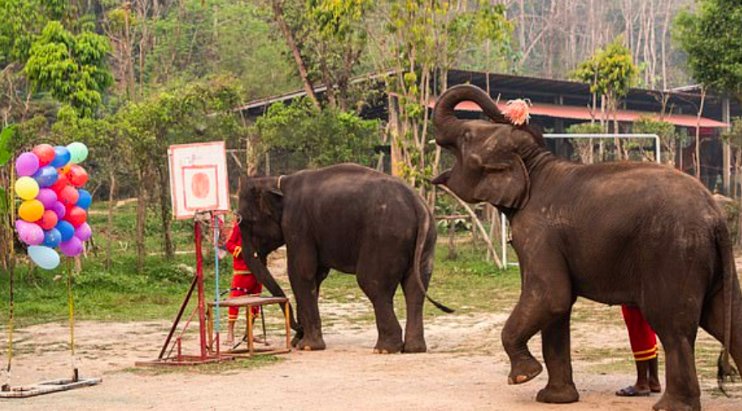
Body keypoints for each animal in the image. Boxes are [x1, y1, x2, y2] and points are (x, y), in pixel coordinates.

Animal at [237, 164, 454, 354]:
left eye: (244, 221)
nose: (298, 332)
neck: (278, 181)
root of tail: (417, 204)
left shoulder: (297, 224)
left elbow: (301, 273)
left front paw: (307, 346)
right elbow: (316, 276)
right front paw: (300, 343)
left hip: (385, 238)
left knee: (373, 284)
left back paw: (384, 350)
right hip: (427, 239)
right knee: (415, 288)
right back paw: (413, 349)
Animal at [430, 84, 742, 411]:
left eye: (467, 136)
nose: (515, 110)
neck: (535, 164)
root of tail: (715, 216)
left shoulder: (538, 232)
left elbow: (551, 295)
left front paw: (524, 376)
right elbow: (557, 306)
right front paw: (554, 399)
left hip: (674, 253)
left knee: (673, 326)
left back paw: (670, 406)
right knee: (729, 318)